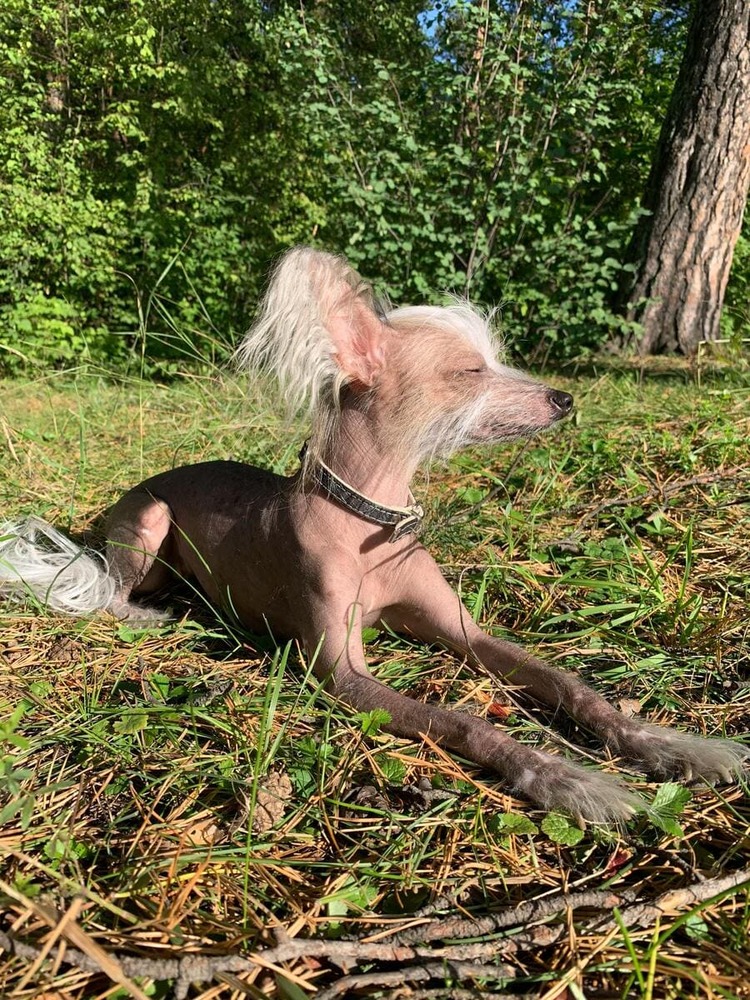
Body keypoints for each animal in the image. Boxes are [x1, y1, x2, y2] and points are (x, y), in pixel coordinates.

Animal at [2, 246, 748, 824]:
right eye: (469, 371)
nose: (565, 399)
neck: (372, 523)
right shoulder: (341, 676)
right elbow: (466, 721)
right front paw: (569, 779)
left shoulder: (464, 631)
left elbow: (571, 685)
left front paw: (670, 746)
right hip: (150, 522)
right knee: (110, 593)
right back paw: (155, 614)